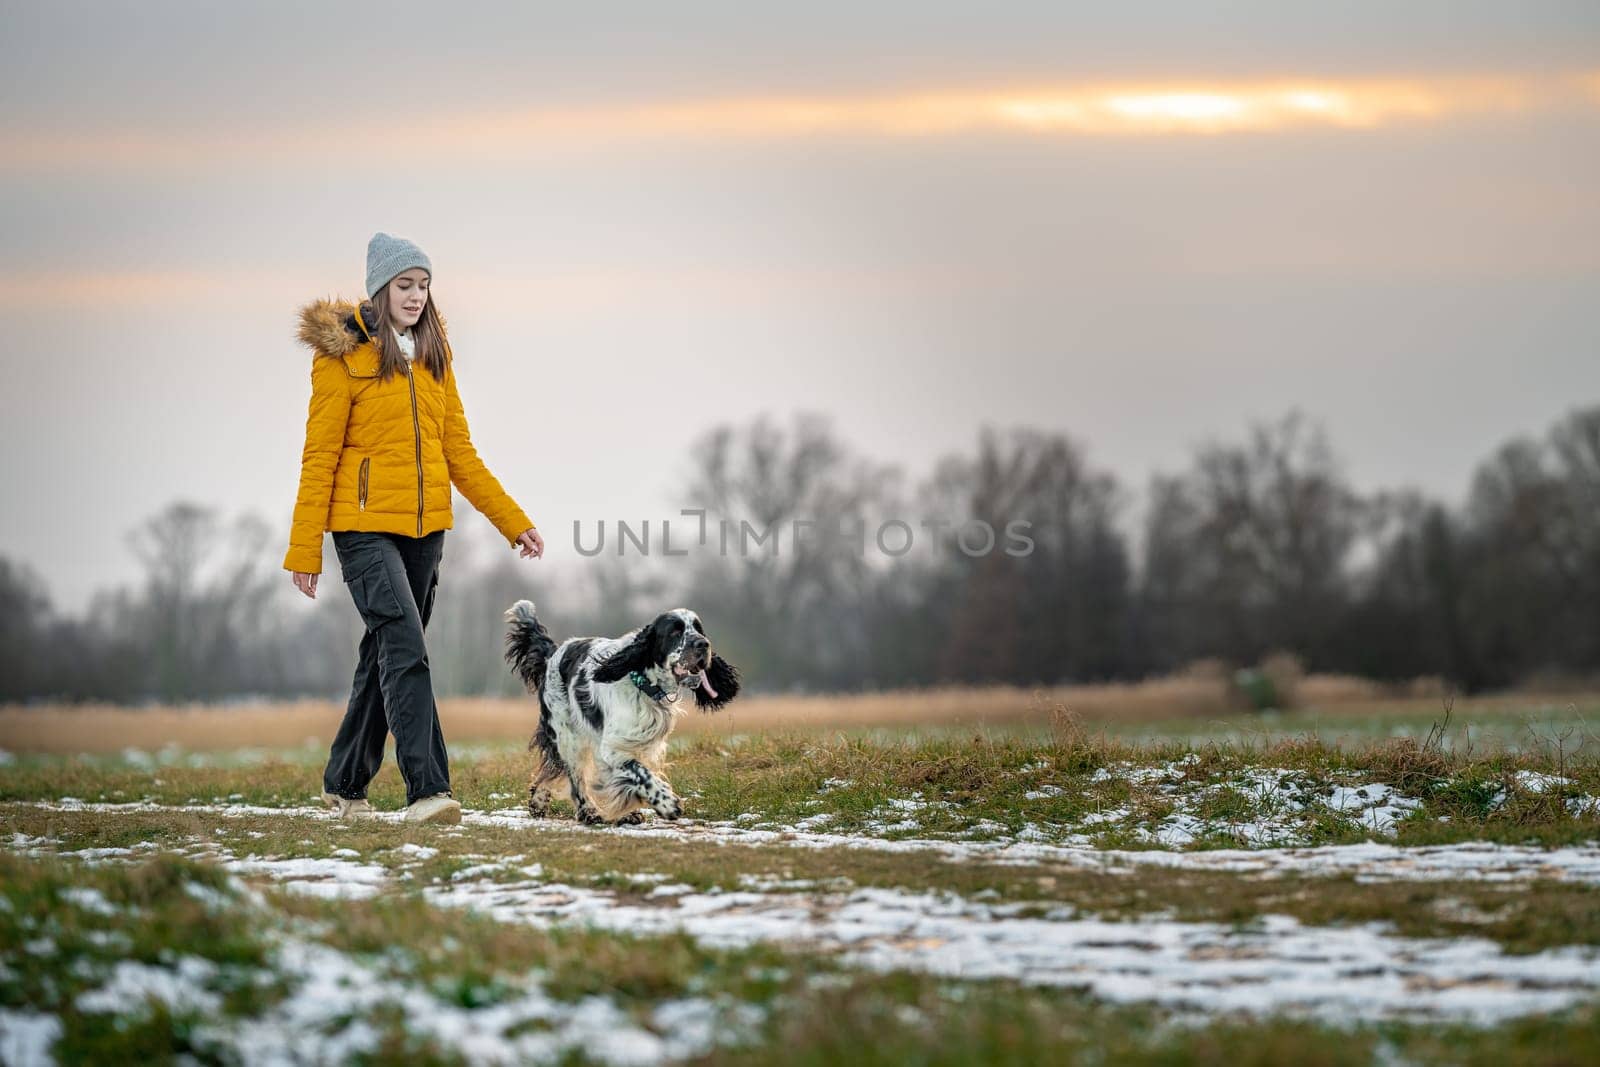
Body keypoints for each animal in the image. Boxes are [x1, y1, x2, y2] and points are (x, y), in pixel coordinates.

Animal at [502, 601, 739, 825]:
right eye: (675, 632)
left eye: (699, 629)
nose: (703, 644)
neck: (642, 682)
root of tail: (553, 654)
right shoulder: (612, 749)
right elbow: (640, 773)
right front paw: (666, 803)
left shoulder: (640, 745)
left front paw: (633, 811)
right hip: (568, 738)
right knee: (575, 779)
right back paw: (588, 812)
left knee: (553, 768)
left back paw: (539, 801)